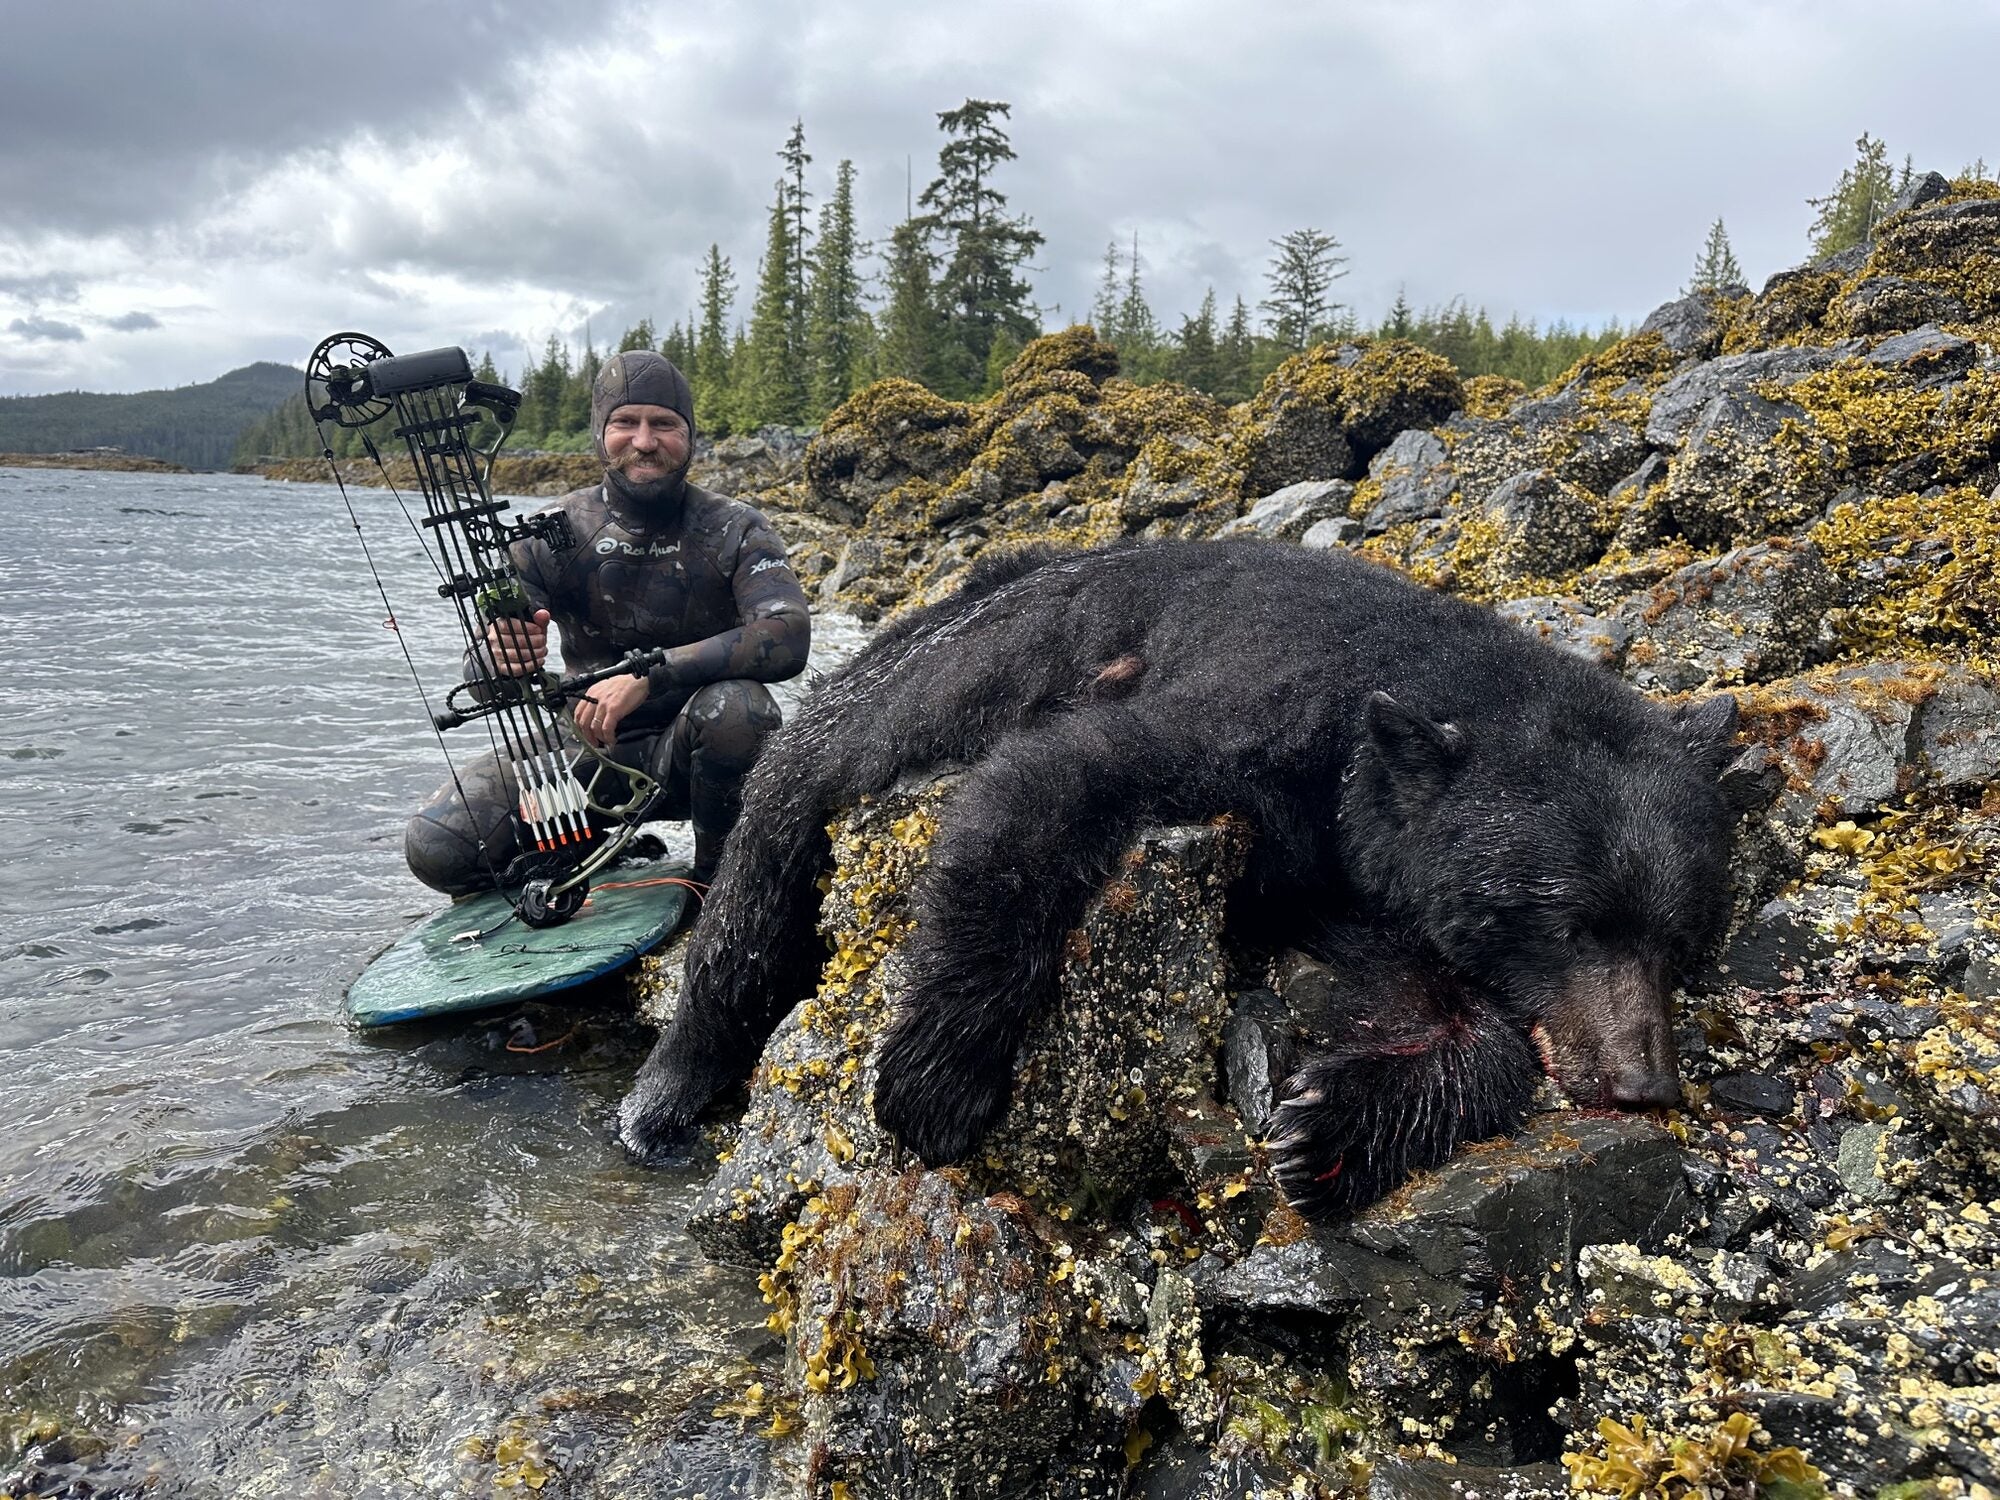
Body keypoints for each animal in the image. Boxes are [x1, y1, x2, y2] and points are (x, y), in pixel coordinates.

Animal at [617, 539, 1740, 1212]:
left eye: (1679, 937)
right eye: (1569, 921)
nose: (1644, 1082)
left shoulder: (1351, 865)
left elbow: (1421, 993)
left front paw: (1324, 1130)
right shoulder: (1259, 717)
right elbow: (1049, 782)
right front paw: (936, 1080)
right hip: (891, 696)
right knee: (761, 876)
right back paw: (662, 1097)